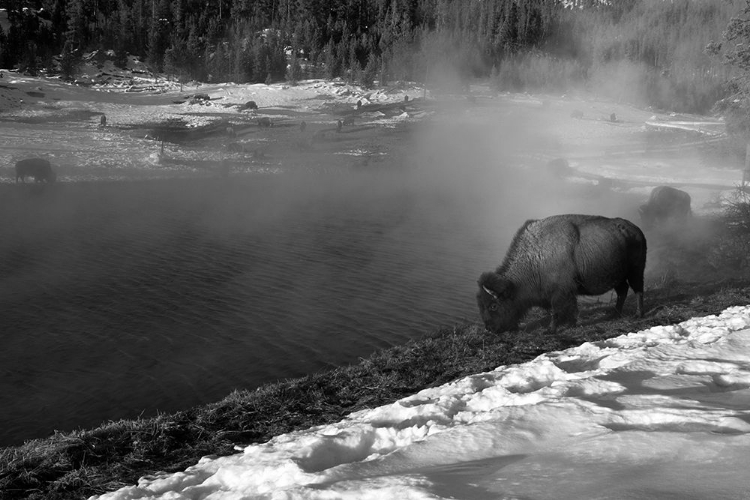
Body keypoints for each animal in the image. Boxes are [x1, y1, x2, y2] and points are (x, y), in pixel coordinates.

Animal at [478, 214, 648, 334]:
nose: (489, 329)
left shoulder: (560, 292)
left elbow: (556, 311)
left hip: (635, 271)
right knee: (622, 291)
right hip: (618, 276)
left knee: (638, 290)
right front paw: (572, 324)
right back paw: (615, 314)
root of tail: (637, 230)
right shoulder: (566, 292)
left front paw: (551, 330)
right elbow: (571, 308)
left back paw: (638, 314)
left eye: (493, 305)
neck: (536, 258)